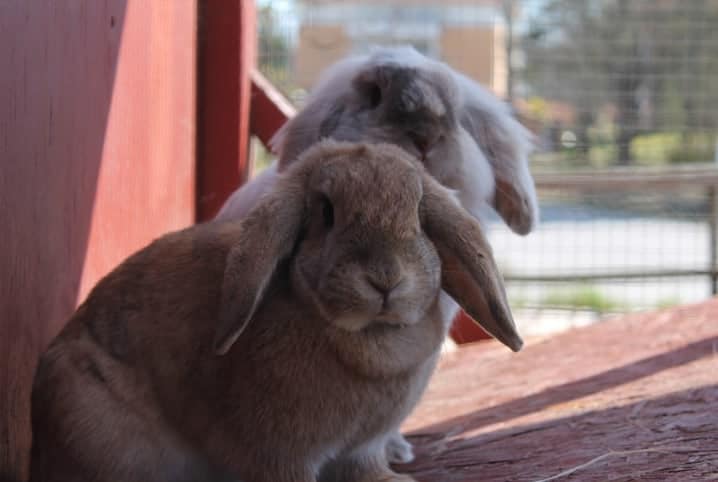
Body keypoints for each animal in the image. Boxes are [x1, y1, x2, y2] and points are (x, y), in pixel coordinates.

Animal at [29, 140, 524, 482]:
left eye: (419, 214)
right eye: (326, 212)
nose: (386, 278)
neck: (369, 337)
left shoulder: (364, 447)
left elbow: (366, 469)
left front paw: (394, 481)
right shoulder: (280, 455)